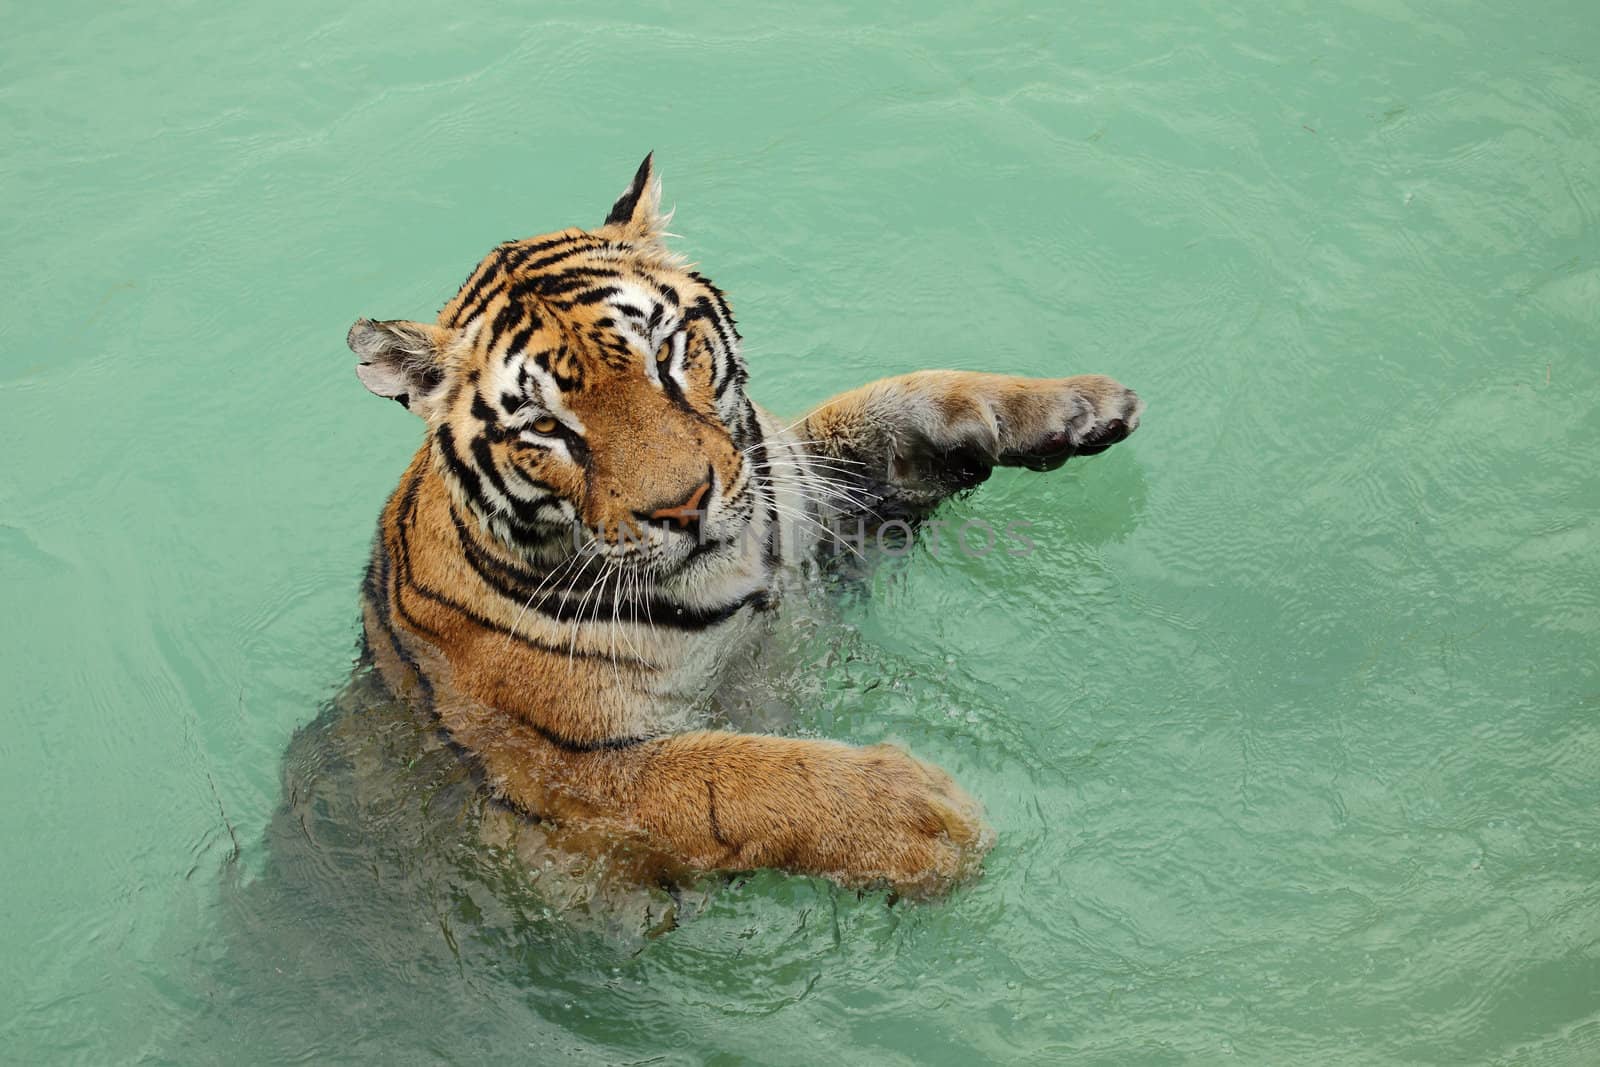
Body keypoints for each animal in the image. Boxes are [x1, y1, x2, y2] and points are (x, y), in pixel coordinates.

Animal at [345, 154, 1145, 895]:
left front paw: (1077, 405)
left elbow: (898, 398)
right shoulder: (567, 775)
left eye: (666, 353)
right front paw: (927, 818)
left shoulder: (824, 504)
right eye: (544, 426)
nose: (683, 505)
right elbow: (737, 778)